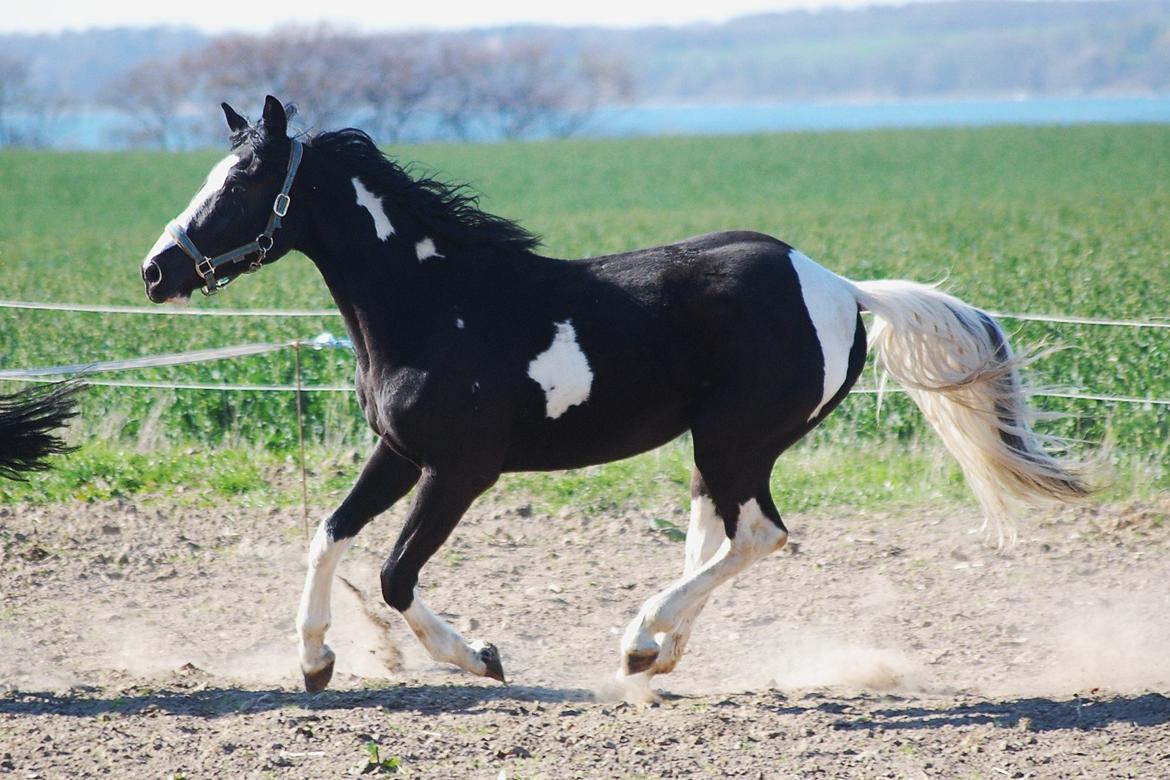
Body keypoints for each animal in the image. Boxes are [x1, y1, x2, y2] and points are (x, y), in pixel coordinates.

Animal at [141, 99, 1081, 696]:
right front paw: (313, 664)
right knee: (720, 536)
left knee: (760, 536)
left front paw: (481, 658)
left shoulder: (462, 470)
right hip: (718, 449)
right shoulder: (400, 453)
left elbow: (397, 573)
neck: (434, 305)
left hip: (736, 440)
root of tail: (843, 287)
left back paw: (638, 643)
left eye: (239, 184)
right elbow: (328, 535)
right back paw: (657, 655)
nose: (156, 271)